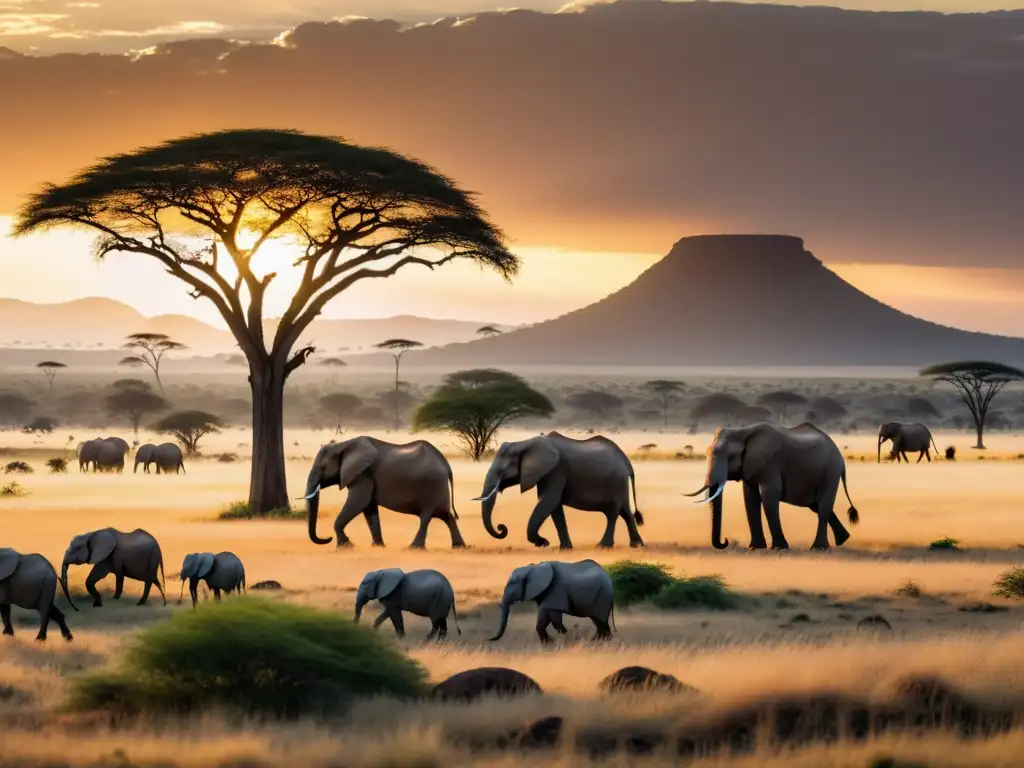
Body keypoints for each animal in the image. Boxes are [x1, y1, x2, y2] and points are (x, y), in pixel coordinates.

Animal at [301, 436, 466, 548]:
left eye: (322, 468)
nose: (327, 538)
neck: (343, 445)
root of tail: (446, 464)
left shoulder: (364, 474)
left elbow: (358, 502)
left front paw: (346, 546)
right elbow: (369, 509)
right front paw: (377, 546)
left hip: (432, 486)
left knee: (426, 517)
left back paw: (414, 548)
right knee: (447, 516)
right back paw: (459, 547)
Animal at [475, 434, 643, 552]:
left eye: (502, 471)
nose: (502, 527)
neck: (525, 443)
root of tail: (626, 462)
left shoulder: (555, 471)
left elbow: (548, 502)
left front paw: (543, 542)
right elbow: (554, 508)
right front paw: (565, 548)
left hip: (616, 482)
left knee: (612, 513)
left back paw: (602, 546)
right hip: (620, 485)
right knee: (625, 512)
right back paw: (637, 545)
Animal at [684, 421, 860, 552]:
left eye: (730, 457)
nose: (725, 541)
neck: (742, 432)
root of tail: (841, 457)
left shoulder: (771, 463)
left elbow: (768, 496)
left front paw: (779, 548)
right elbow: (750, 498)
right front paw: (756, 548)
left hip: (830, 472)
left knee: (823, 506)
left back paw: (819, 548)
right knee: (816, 505)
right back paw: (843, 540)